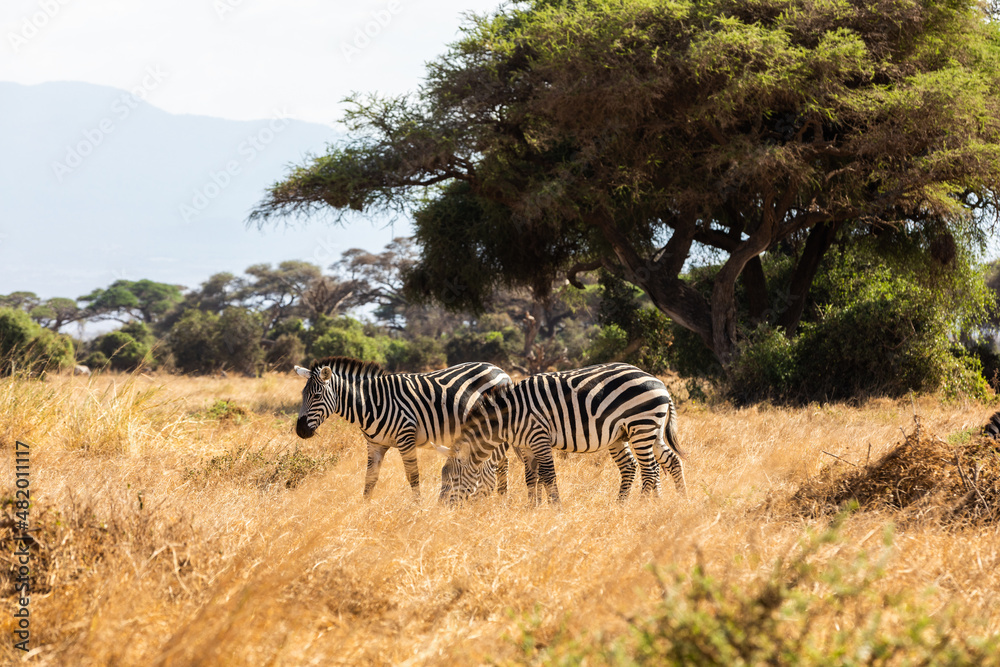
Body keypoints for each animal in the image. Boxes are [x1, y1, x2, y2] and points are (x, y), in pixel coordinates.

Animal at [294, 357, 511, 499]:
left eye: (316, 396)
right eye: (302, 395)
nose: (300, 430)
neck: (371, 403)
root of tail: (499, 369)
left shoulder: (406, 437)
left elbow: (413, 476)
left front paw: (418, 509)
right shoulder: (375, 445)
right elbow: (370, 479)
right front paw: (364, 510)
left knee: (501, 464)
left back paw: (499, 500)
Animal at [439, 362, 685, 504]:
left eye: (453, 479)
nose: (446, 510)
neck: (509, 417)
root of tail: (659, 382)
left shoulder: (539, 437)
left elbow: (548, 475)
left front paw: (555, 507)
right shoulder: (528, 446)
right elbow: (531, 477)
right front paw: (533, 508)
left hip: (641, 427)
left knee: (650, 470)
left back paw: (642, 505)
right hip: (645, 431)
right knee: (668, 461)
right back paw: (675, 501)